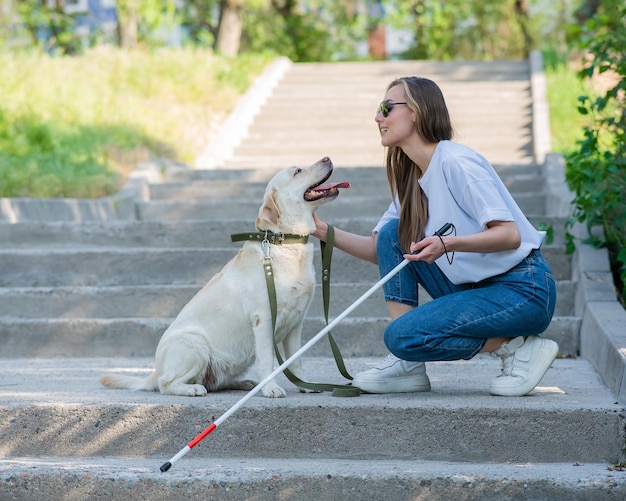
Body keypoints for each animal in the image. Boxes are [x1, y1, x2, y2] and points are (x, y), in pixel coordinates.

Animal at [100, 156, 348, 398]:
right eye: (297, 171)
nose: (327, 157)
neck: (286, 243)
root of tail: (155, 371)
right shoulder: (264, 319)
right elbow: (267, 360)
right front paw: (271, 388)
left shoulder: (297, 322)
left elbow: (296, 360)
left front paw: (305, 384)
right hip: (195, 345)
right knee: (167, 384)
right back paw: (192, 389)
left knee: (215, 383)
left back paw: (244, 383)